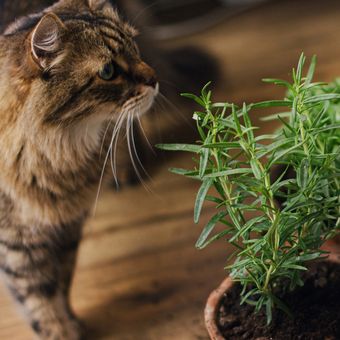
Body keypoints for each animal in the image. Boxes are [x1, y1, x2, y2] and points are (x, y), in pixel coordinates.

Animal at [0, 1, 158, 338]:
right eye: (108, 71)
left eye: (134, 47)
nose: (155, 79)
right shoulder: (15, 243)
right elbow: (37, 296)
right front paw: (59, 330)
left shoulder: (67, 227)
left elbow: (61, 281)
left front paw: (70, 321)